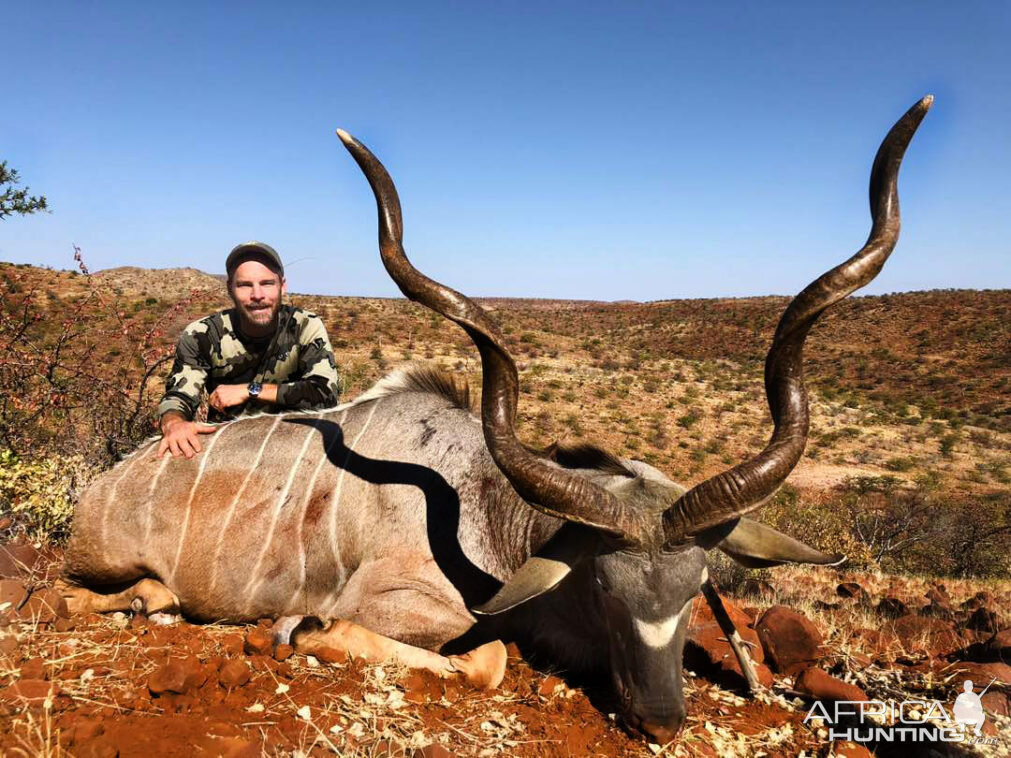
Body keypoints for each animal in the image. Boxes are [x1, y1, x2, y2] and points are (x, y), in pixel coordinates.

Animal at [61, 95, 930, 743]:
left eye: (695, 590)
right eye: (603, 587)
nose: (659, 721)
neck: (488, 506)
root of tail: (104, 486)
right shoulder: (403, 603)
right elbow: (482, 658)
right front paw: (302, 634)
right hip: (94, 572)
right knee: (85, 598)